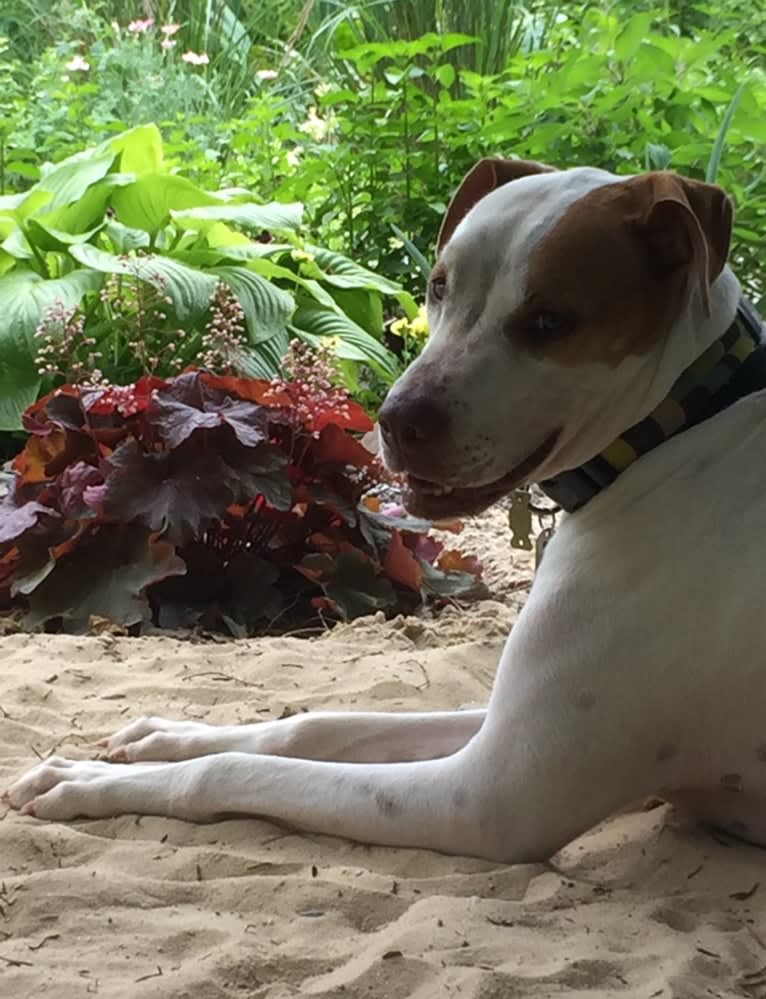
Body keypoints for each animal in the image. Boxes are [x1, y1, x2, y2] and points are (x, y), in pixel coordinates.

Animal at [6, 160, 766, 864]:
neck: (677, 425)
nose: (397, 421)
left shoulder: (485, 795)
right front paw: (166, 736)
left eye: (551, 321)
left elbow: (232, 770)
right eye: (438, 286)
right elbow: (312, 726)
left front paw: (87, 781)